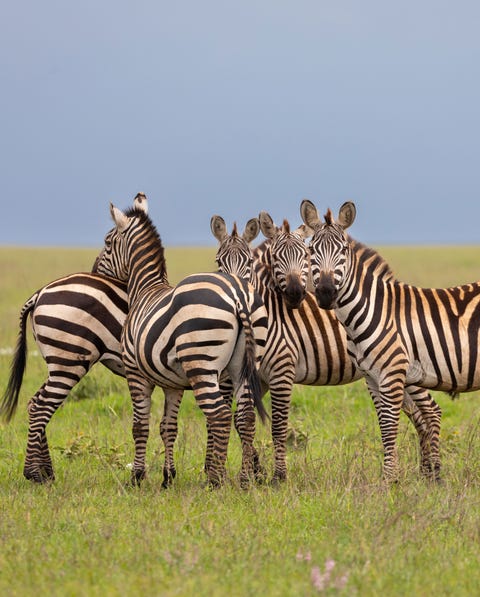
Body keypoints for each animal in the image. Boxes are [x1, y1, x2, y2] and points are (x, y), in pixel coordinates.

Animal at [92, 198, 268, 486]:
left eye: (108, 242)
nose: (94, 271)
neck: (145, 289)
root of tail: (238, 295)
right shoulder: (172, 384)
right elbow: (168, 427)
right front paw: (168, 478)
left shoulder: (135, 372)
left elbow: (140, 426)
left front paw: (137, 477)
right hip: (242, 366)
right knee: (245, 416)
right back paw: (243, 480)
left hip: (201, 363)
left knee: (219, 416)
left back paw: (215, 481)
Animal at [212, 212, 444, 482]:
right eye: (218, 262)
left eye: (249, 263)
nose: (296, 294)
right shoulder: (256, 376)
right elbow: (242, 420)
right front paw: (248, 474)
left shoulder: (279, 369)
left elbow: (268, 423)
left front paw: (265, 476)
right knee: (418, 414)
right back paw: (425, 472)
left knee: (430, 412)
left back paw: (433, 474)